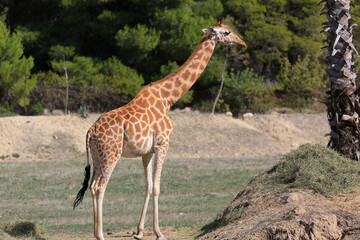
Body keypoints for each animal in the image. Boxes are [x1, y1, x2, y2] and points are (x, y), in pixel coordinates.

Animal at [73, 17, 248, 240]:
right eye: (226, 32)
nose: (242, 43)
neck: (168, 98)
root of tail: (91, 131)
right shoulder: (163, 144)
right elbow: (156, 187)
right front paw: (159, 232)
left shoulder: (147, 152)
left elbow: (147, 187)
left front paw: (139, 232)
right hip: (111, 154)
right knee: (99, 187)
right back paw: (100, 235)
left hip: (97, 156)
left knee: (92, 186)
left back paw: (98, 232)